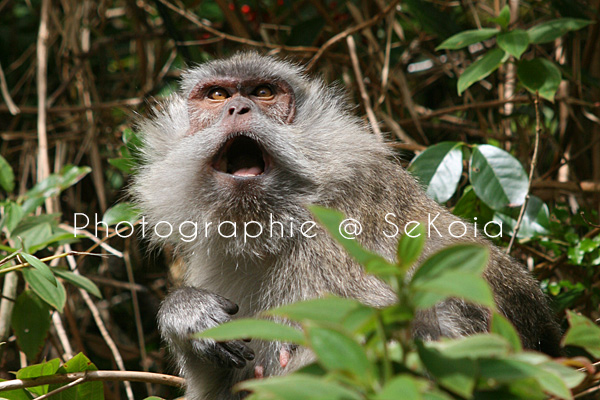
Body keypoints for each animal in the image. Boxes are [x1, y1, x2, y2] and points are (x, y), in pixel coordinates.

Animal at [132, 53, 564, 400]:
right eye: (217, 95)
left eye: (263, 92)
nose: (238, 109)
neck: (278, 224)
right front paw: (187, 314)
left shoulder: (344, 227)